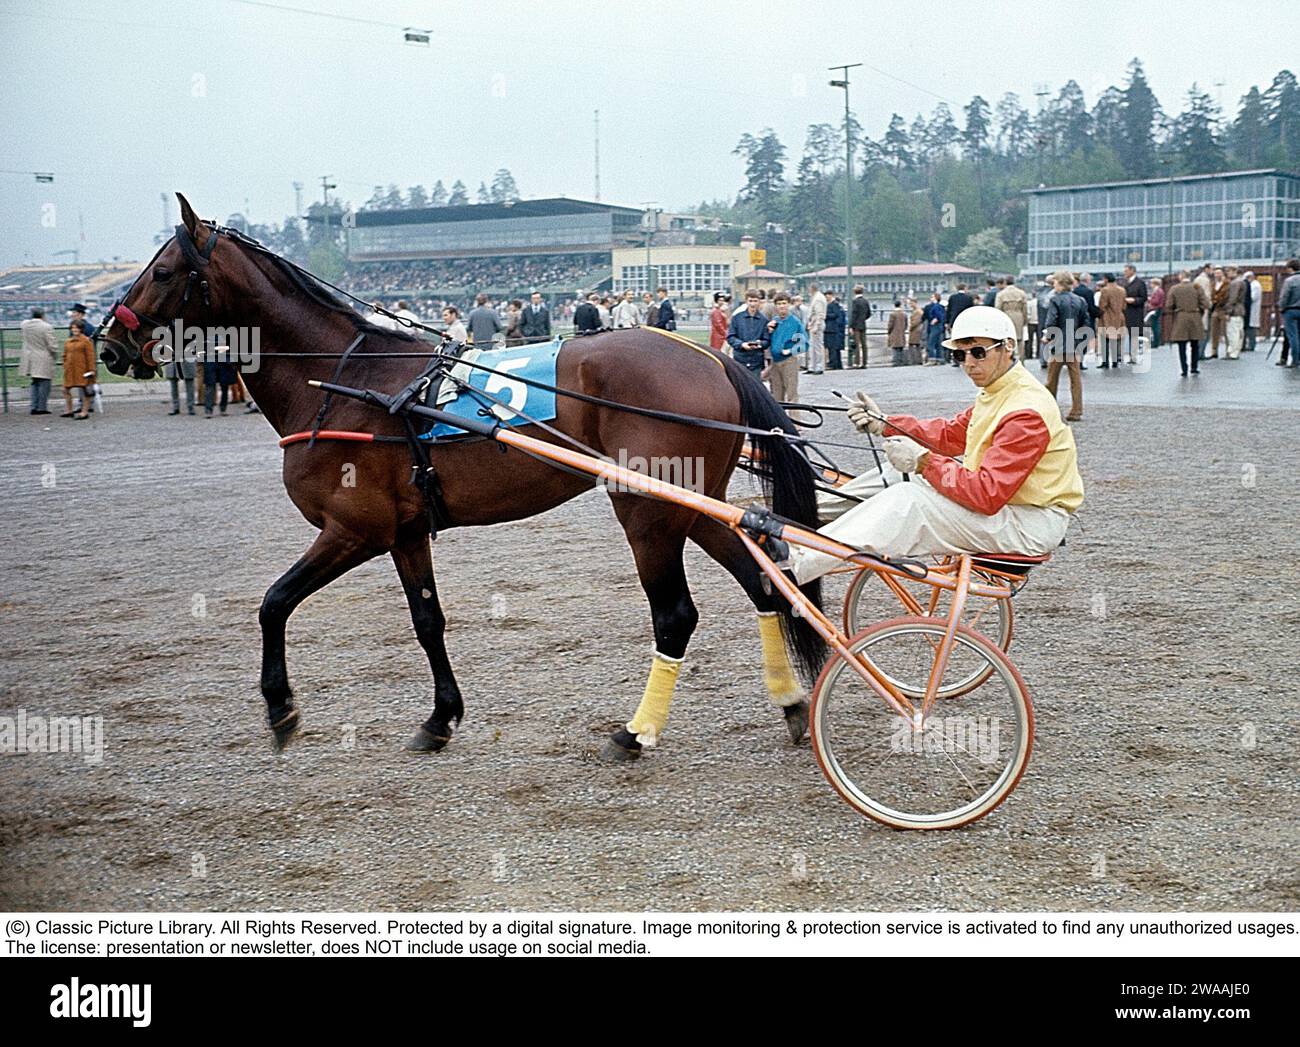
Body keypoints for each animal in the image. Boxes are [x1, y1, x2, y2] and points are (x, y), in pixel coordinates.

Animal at [106, 192, 826, 754]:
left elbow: (273, 601)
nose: (113, 343)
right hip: (694, 501)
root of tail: (713, 359)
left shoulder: (353, 528)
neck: (349, 380)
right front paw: (440, 717)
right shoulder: (402, 532)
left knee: (676, 613)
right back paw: (791, 702)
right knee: (765, 582)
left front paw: (281, 707)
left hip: (647, 506)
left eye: (163, 270)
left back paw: (636, 731)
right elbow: (428, 620)